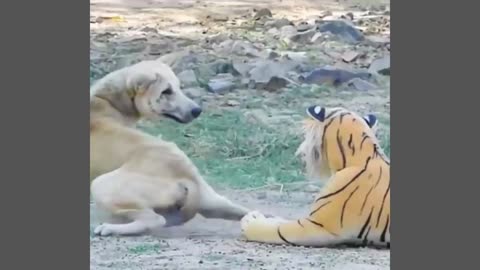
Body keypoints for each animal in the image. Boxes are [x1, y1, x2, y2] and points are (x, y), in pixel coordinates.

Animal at [88, 59, 251, 236]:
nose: (197, 110)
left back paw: (110, 228)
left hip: (101, 185)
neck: (105, 100)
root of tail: (186, 177)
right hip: (214, 201)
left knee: (155, 219)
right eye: (166, 91)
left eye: (179, 87)